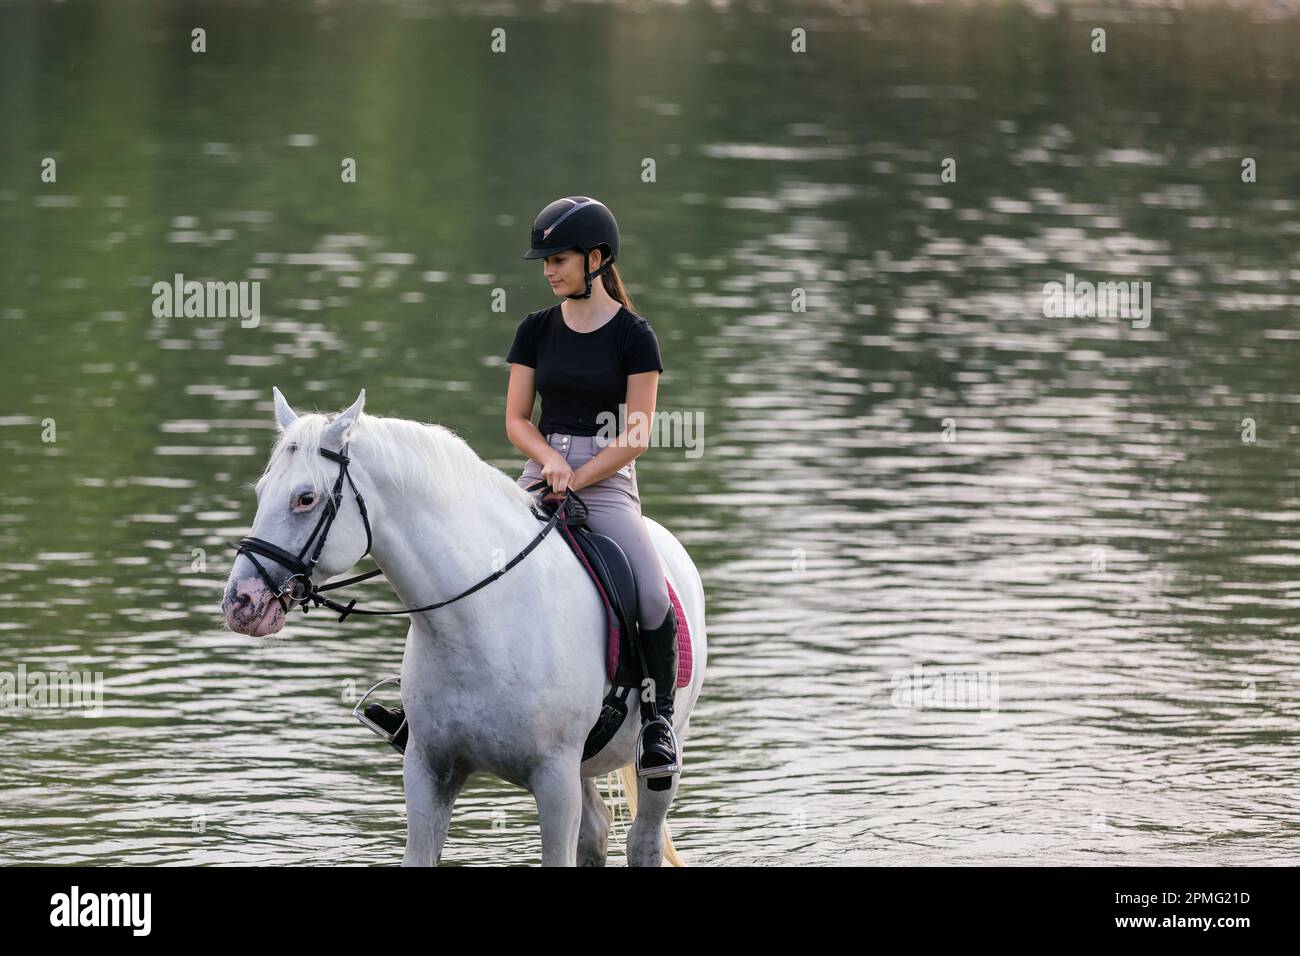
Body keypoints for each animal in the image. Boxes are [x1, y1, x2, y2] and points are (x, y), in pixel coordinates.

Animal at [220, 388, 707, 866]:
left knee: (643, 838)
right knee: (597, 830)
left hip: (658, 755)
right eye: (262, 490)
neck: (480, 627)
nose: (241, 603)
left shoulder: (554, 780)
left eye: (306, 498)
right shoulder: (428, 769)